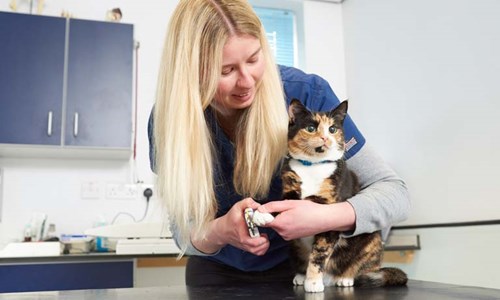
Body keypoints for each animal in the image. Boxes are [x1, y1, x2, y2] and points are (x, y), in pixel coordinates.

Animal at [282, 99, 406, 292]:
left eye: (332, 129)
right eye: (311, 128)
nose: (325, 138)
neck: (312, 166)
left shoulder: (328, 217)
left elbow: (319, 254)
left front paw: (313, 282)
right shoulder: (289, 194)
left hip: (372, 239)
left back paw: (344, 278)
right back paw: (301, 276)